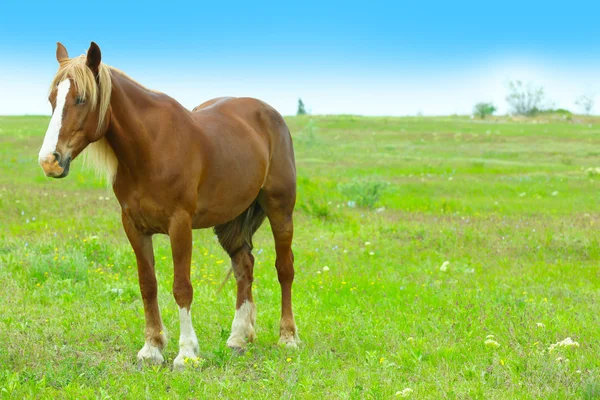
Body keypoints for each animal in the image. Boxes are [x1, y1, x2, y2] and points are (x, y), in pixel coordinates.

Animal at [37, 42, 300, 368]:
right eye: (52, 100)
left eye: (81, 99)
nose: (49, 161)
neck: (150, 148)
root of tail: (271, 114)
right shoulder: (134, 226)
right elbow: (147, 284)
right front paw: (152, 347)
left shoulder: (180, 224)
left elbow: (182, 287)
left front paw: (186, 353)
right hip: (231, 219)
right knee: (244, 267)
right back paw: (238, 338)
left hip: (280, 210)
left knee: (284, 269)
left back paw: (287, 337)